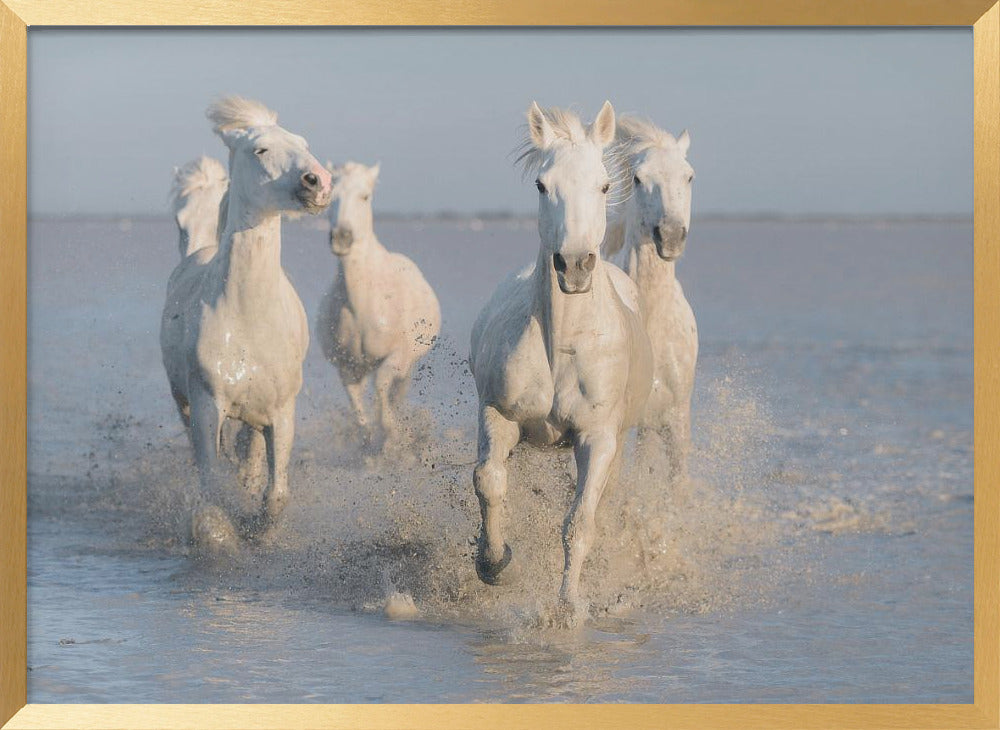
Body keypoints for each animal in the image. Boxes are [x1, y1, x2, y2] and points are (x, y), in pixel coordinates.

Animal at [160, 96, 332, 553]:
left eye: (303, 142)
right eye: (261, 149)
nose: (319, 182)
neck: (248, 318)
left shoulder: (282, 413)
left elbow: (276, 494)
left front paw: (257, 527)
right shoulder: (206, 406)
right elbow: (210, 492)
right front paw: (223, 533)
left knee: (250, 450)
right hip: (183, 401)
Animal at [315, 161, 441, 452]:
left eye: (365, 196)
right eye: (330, 196)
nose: (342, 238)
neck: (365, 302)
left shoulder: (398, 356)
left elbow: (383, 387)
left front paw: (394, 436)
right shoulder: (347, 366)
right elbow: (359, 412)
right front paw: (369, 442)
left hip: (409, 364)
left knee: (396, 392)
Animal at [469, 102, 653, 621]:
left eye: (604, 185)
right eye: (541, 184)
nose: (574, 266)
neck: (564, 345)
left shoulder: (597, 437)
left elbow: (579, 521)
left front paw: (569, 606)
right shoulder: (499, 414)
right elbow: (489, 481)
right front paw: (495, 563)